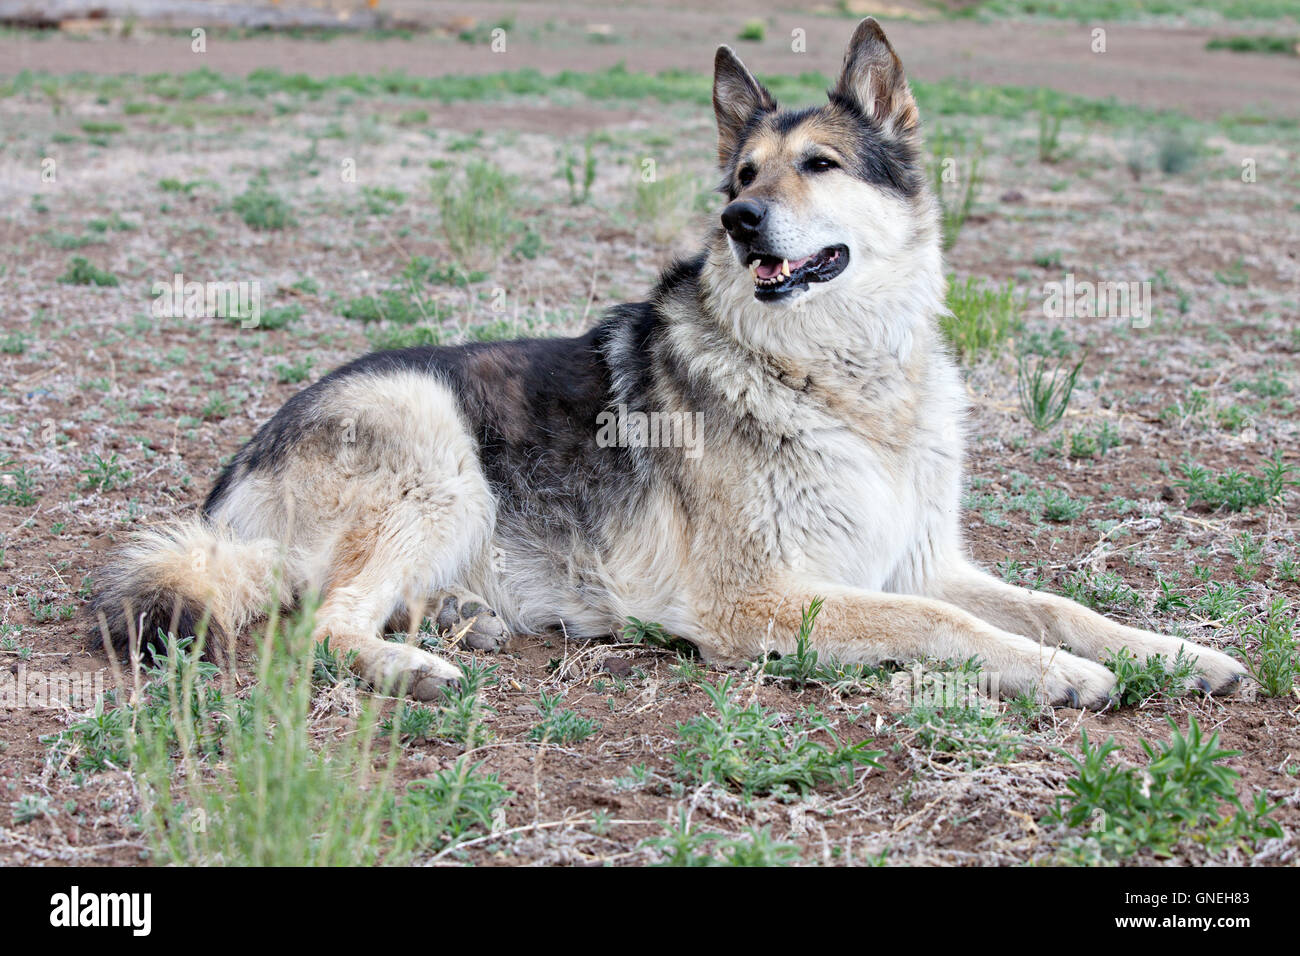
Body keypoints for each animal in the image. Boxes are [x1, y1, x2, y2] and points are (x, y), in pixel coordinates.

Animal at [86, 18, 1242, 707]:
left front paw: (1177, 653)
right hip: (437, 453)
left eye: (818, 165)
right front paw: (1062, 675)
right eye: (743, 174)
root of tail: (231, 484)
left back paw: (458, 619)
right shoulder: (763, 601)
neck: (845, 381)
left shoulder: (920, 560)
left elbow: (1056, 605)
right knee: (320, 628)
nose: (738, 220)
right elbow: (942, 622)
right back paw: (417, 662)